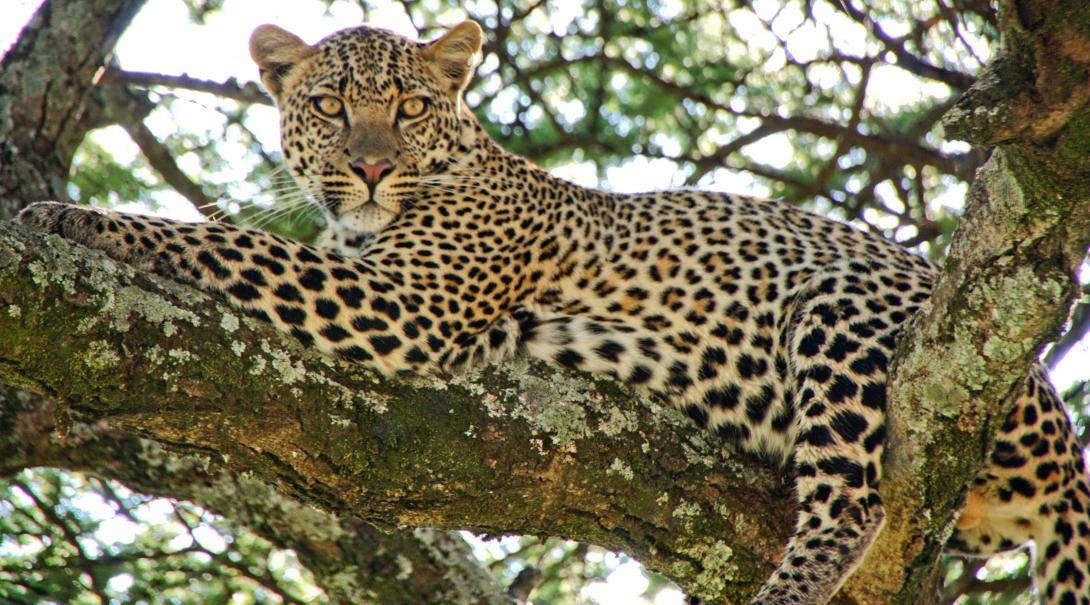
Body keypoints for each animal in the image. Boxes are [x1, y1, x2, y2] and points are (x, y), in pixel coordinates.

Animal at [17, 20, 1090, 605]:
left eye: (409, 107)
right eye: (327, 105)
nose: (369, 166)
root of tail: (1061, 424)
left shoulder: (403, 303)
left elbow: (230, 246)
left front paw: (66, 215)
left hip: (839, 302)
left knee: (854, 500)